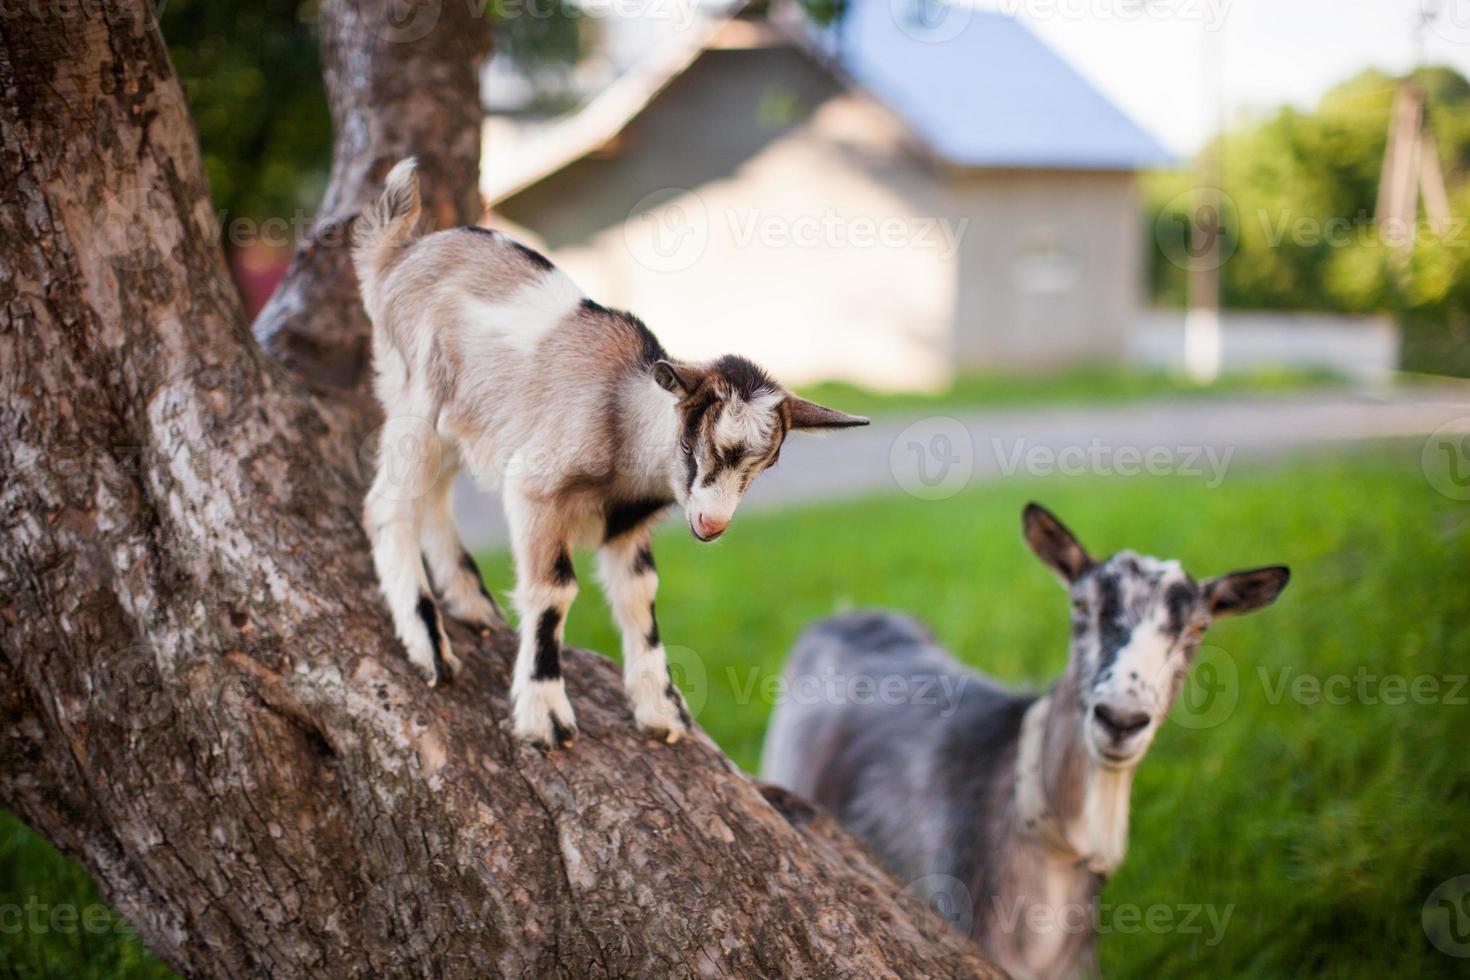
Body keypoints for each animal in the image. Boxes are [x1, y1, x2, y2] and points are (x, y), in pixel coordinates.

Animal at [351, 159, 864, 752]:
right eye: (694, 439)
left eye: (768, 463)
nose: (712, 524)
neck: (625, 424)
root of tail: (394, 255)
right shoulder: (537, 489)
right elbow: (554, 591)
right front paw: (545, 715)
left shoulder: (629, 524)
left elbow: (641, 595)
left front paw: (662, 710)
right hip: (416, 393)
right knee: (387, 503)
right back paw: (429, 645)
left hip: (460, 419)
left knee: (433, 493)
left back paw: (469, 600)